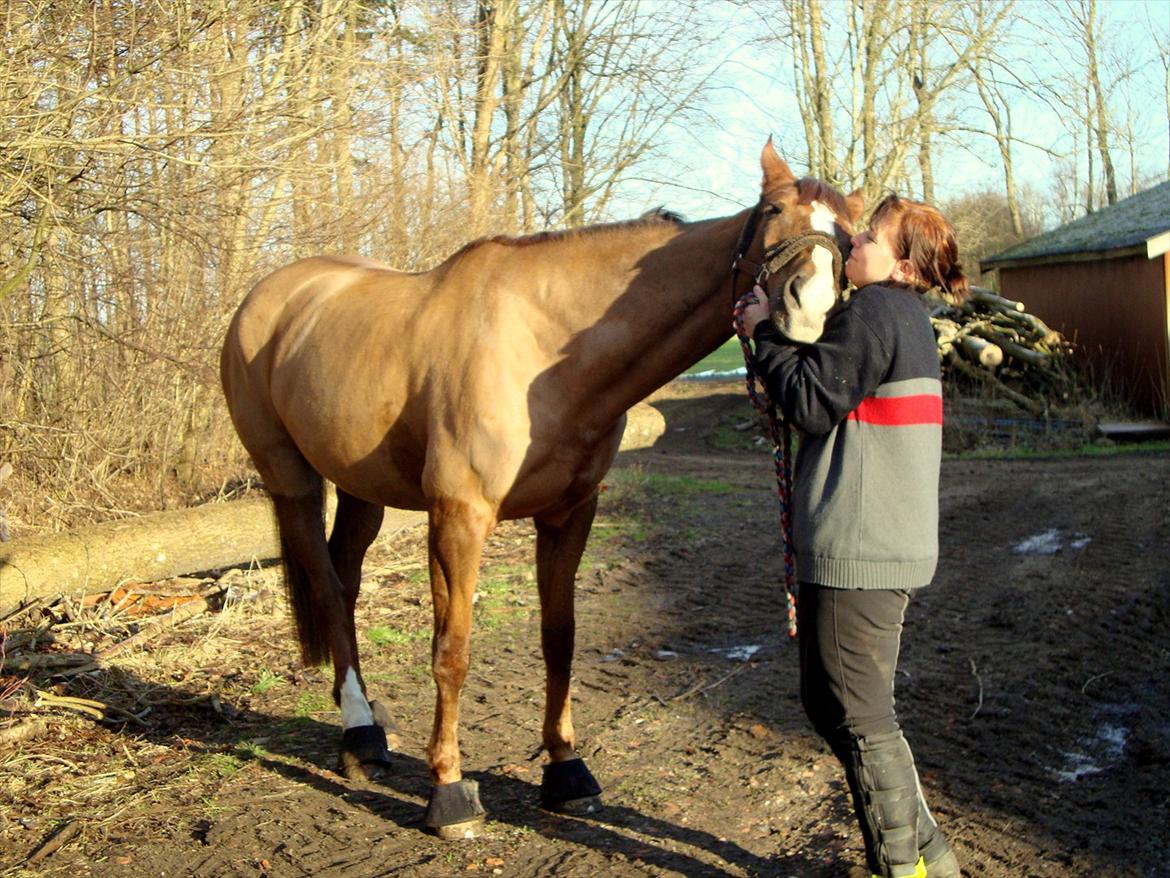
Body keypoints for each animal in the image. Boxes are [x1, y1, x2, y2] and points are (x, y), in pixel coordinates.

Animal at [221, 139, 861, 838]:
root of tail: (271, 295)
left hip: (365, 489)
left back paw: (368, 729)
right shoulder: (460, 516)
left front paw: (566, 770)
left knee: (347, 580)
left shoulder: (568, 514)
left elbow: (561, 640)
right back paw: (361, 734)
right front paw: (449, 793)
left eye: (847, 238)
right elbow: (452, 650)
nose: (810, 307)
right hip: (292, 481)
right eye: (772, 211)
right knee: (331, 591)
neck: (543, 349)